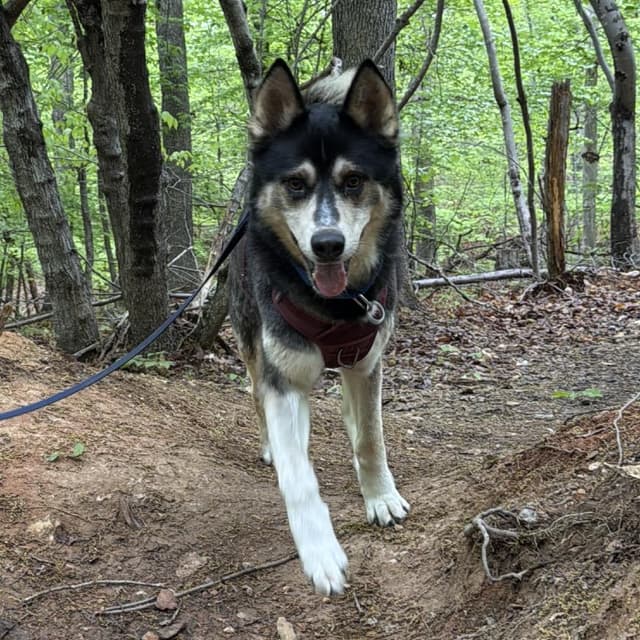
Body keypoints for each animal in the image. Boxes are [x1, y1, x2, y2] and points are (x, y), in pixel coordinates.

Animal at [228, 59, 410, 596]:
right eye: (295, 184)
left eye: (353, 180)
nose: (327, 243)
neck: (334, 306)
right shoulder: (283, 377)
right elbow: (298, 475)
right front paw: (319, 551)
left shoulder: (367, 360)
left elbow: (371, 437)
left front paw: (379, 496)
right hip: (251, 344)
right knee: (257, 399)